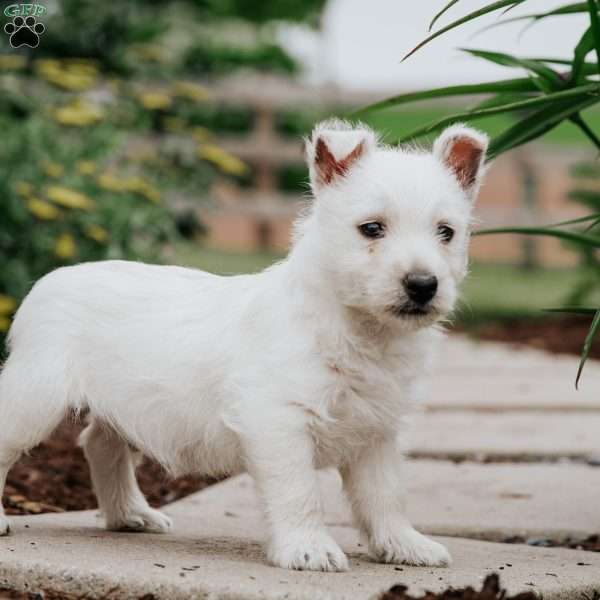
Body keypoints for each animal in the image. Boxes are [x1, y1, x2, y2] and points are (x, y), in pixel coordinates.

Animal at [0, 120, 488, 572]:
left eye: (446, 233)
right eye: (371, 229)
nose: (423, 285)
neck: (357, 328)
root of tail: (49, 279)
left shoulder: (377, 432)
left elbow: (385, 494)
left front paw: (404, 545)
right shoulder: (278, 421)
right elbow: (300, 491)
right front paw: (309, 549)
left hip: (124, 404)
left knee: (101, 444)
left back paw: (131, 515)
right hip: (36, 395)